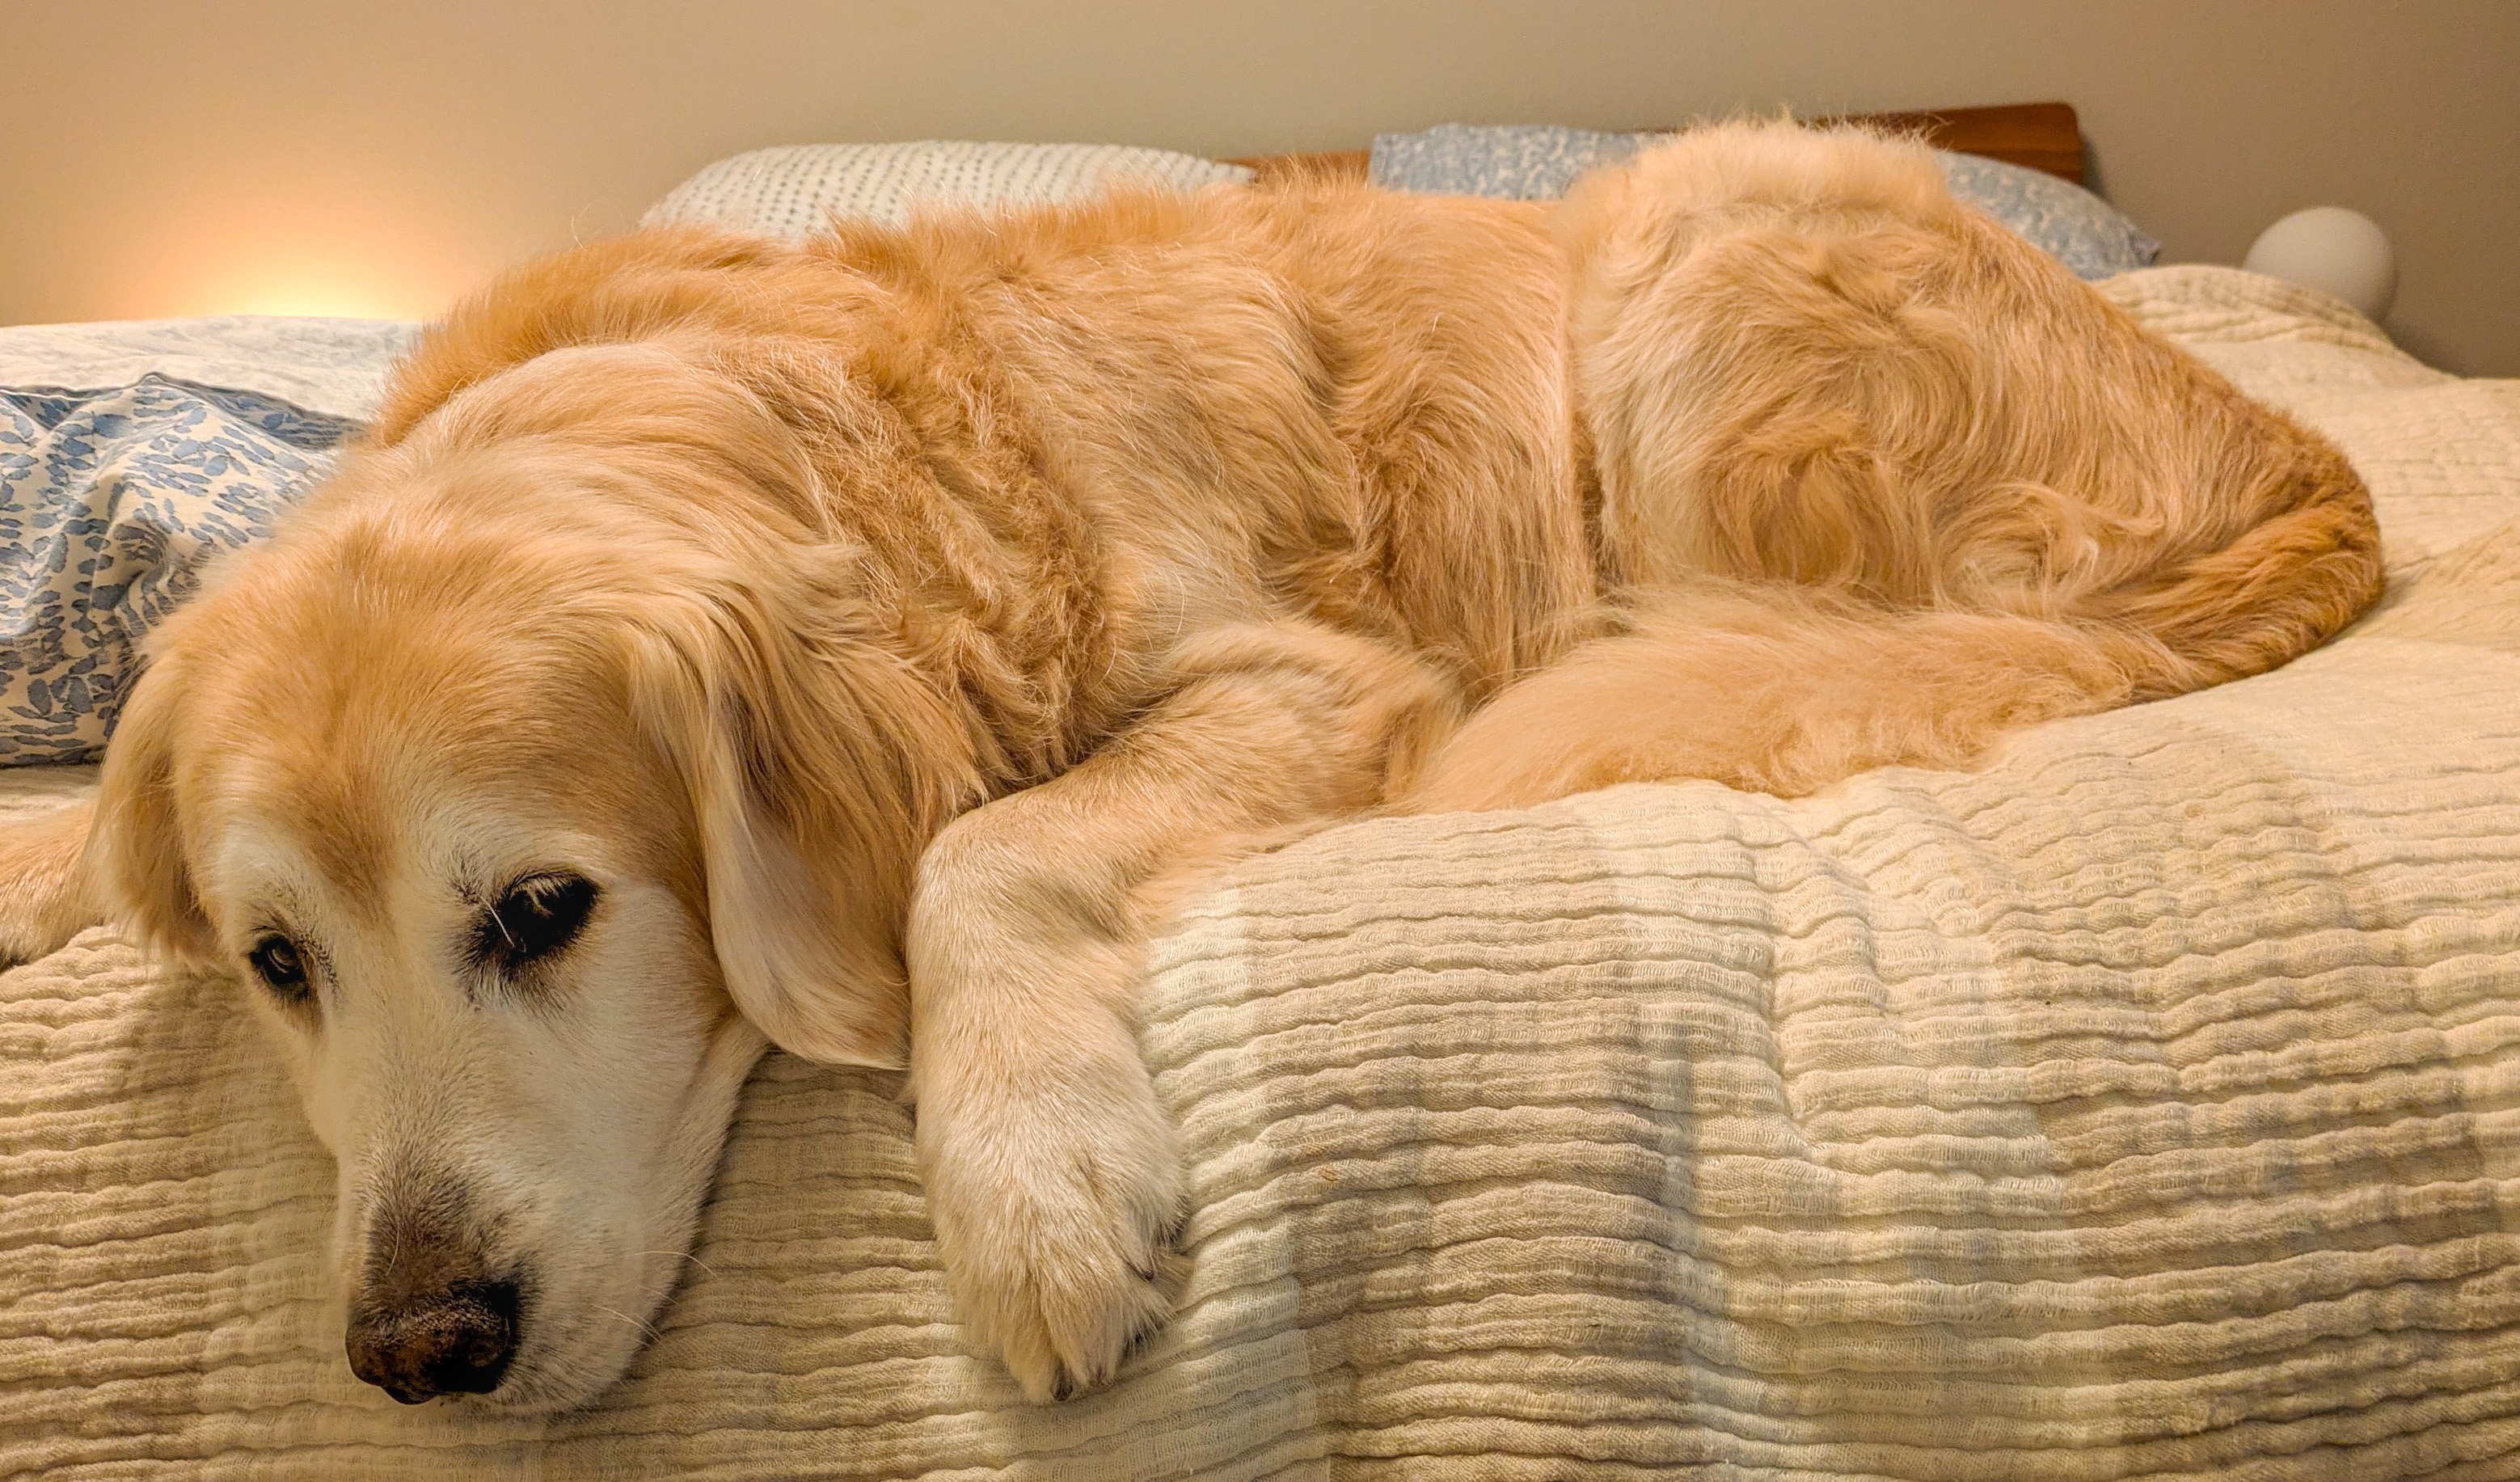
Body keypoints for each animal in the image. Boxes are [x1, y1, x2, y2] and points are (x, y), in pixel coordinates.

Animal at [0, 121, 2368, 1411]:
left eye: (540, 911)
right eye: (276, 962)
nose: (418, 1350)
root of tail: (2299, 467)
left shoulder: (1305, 672)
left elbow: (974, 859)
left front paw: (1038, 1187)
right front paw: (50, 879)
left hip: (1695, 249)